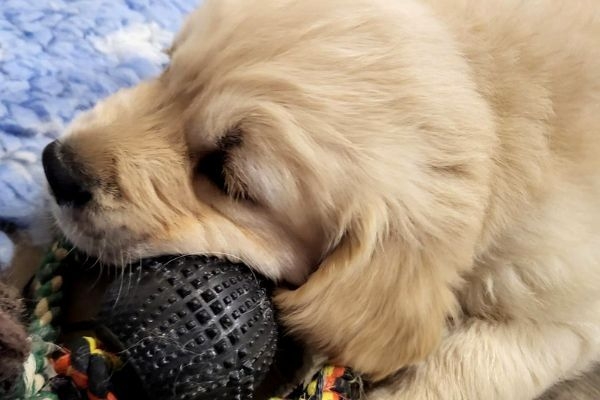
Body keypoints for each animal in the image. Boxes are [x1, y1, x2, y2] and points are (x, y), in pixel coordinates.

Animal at [42, 0, 600, 398]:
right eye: (168, 69)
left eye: (224, 178)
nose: (55, 165)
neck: (495, 106)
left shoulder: (561, 310)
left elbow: (466, 367)